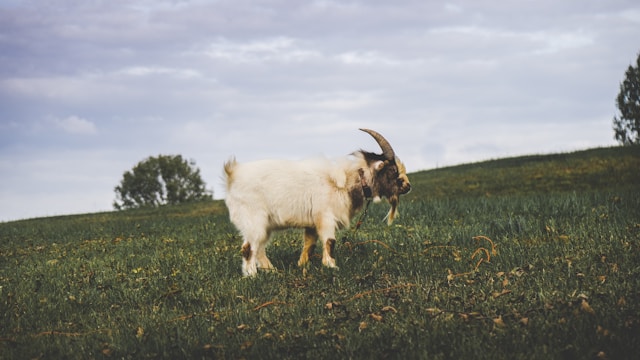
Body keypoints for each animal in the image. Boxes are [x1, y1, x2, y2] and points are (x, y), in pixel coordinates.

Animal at [222, 128, 410, 278]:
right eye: (393, 171)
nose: (408, 186)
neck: (346, 181)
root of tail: (232, 174)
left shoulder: (312, 224)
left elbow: (309, 246)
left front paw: (302, 265)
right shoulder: (325, 217)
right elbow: (329, 241)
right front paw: (332, 267)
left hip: (264, 226)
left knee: (259, 248)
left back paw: (272, 271)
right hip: (254, 220)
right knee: (248, 248)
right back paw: (252, 276)